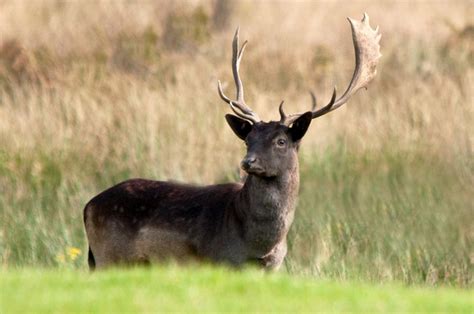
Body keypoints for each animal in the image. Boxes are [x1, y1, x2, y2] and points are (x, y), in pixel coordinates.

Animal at [84, 14, 382, 270]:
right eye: (248, 139)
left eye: (281, 141)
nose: (248, 162)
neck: (259, 245)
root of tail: (88, 207)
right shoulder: (220, 260)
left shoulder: (274, 267)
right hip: (108, 255)